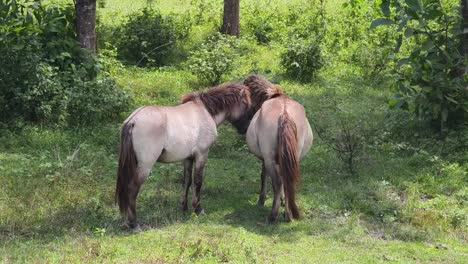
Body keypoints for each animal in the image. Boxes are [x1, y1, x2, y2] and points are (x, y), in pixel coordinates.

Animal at [115, 83, 252, 231]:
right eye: (246, 105)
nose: (245, 129)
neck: (205, 111)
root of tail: (133, 121)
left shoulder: (188, 158)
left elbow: (187, 181)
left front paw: (184, 208)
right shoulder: (202, 155)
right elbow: (198, 182)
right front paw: (198, 210)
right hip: (145, 166)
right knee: (132, 189)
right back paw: (134, 224)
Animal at [243, 75, 312, 223]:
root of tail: (284, 114)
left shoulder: (266, 159)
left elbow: (264, 176)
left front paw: (262, 199)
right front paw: (283, 200)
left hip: (269, 159)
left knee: (277, 182)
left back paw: (273, 215)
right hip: (293, 158)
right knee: (287, 181)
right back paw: (288, 214)